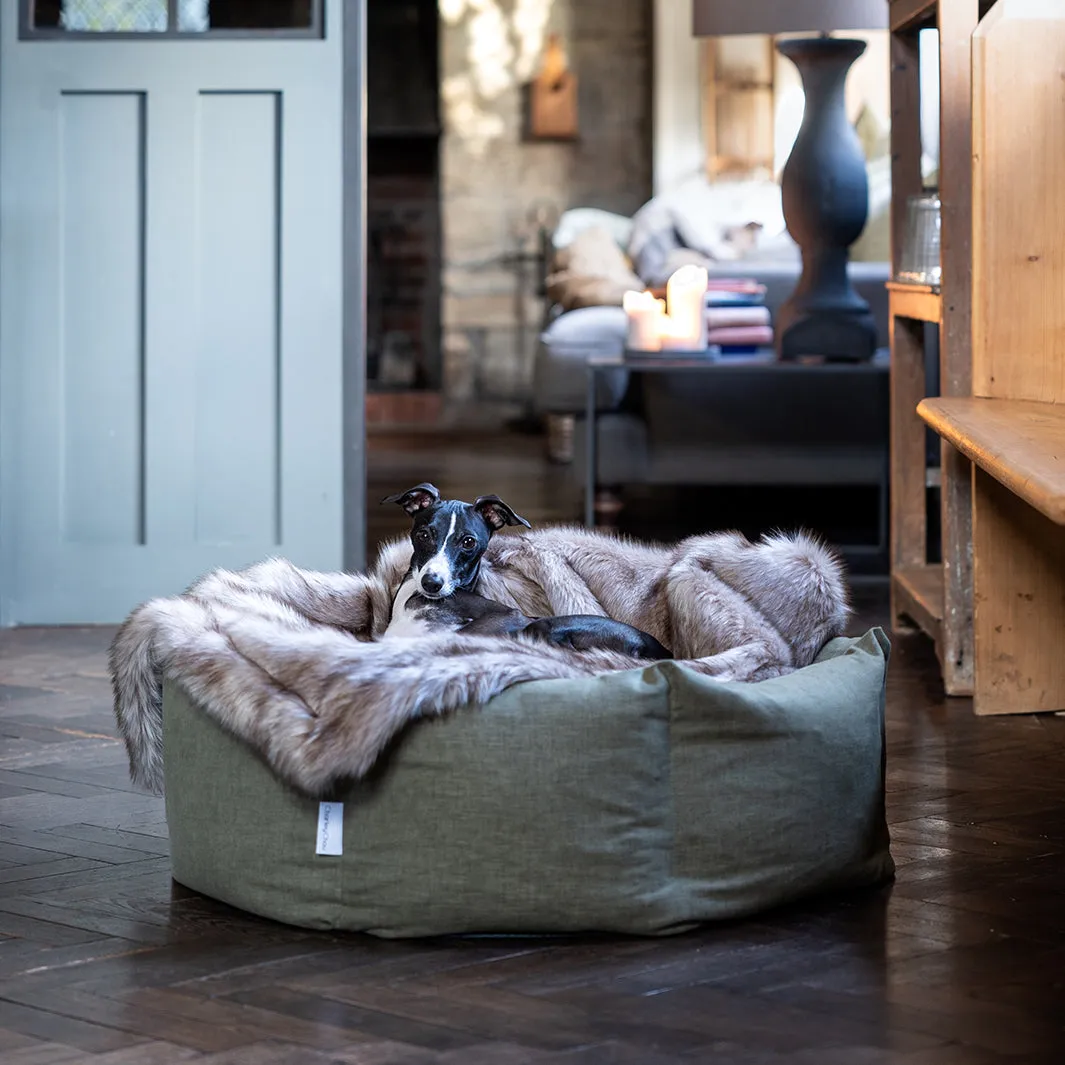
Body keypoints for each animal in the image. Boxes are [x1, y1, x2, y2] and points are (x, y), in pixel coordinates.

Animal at [379, 483, 668, 656]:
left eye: (468, 542)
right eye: (424, 535)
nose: (432, 583)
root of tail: (663, 652)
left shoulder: (508, 616)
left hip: (545, 627)